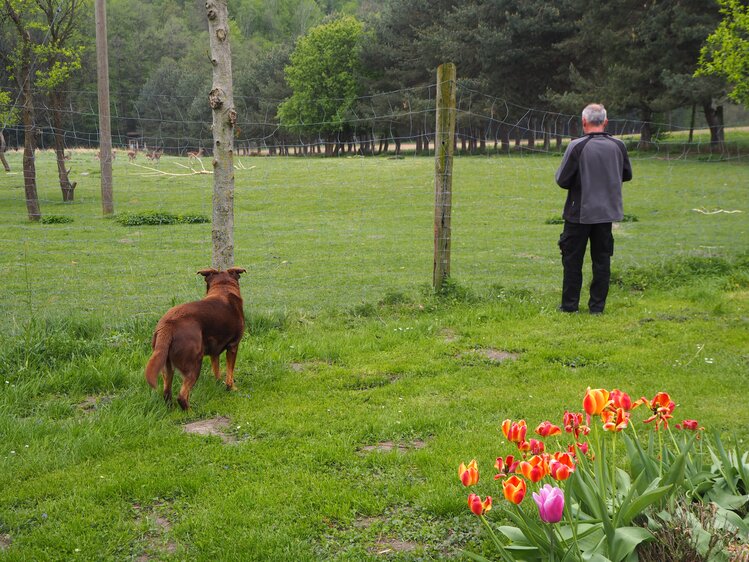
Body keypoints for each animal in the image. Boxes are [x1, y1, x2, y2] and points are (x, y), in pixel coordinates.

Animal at [146, 266, 248, 406]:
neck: (223, 288)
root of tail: (168, 326)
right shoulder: (233, 346)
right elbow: (230, 372)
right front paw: (231, 388)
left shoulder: (214, 352)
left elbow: (216, 369)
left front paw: (218, 383)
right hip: (194, 363)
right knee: (182, 396)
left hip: (166, 366)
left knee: (167, 393)